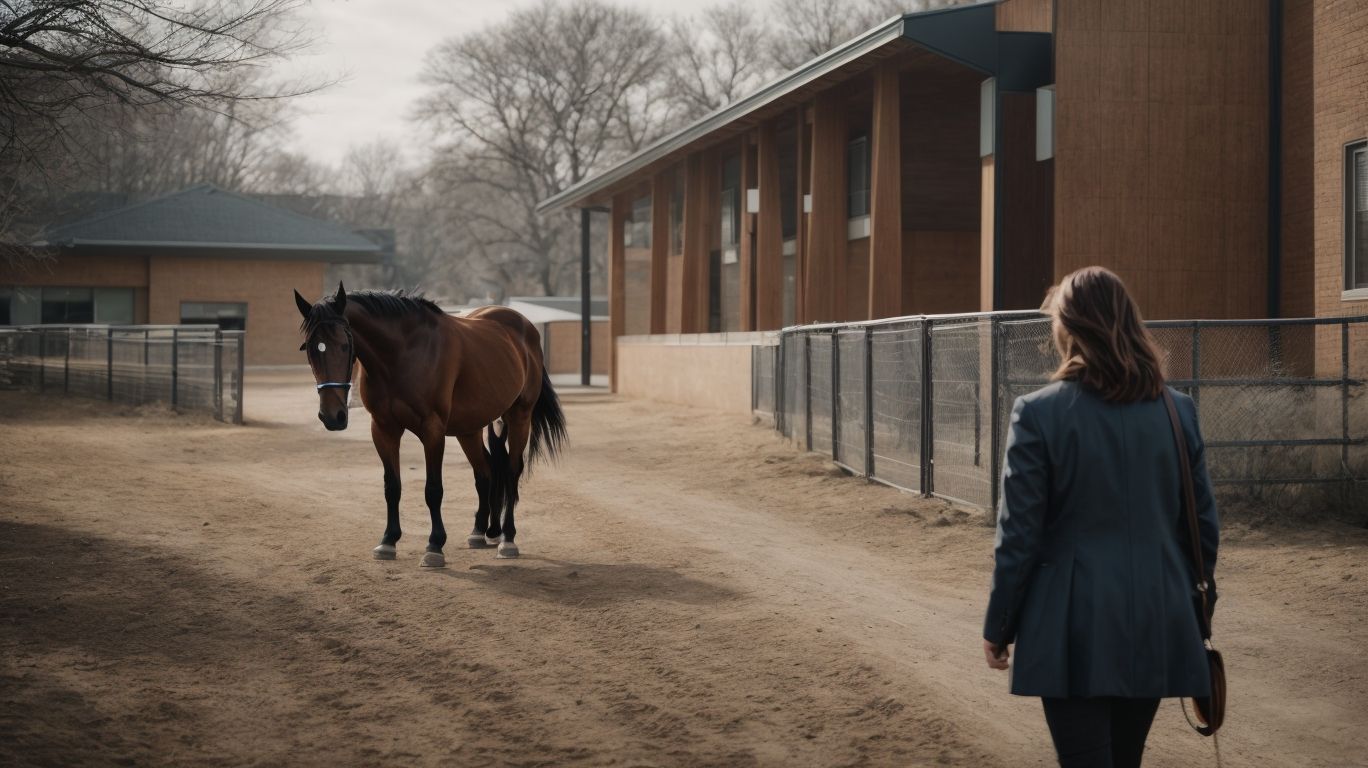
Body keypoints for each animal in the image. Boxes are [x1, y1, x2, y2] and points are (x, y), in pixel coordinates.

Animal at [293, 283, 566, 566]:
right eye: (309, 349)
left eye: (345, 345)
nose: (332, 416)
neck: (402, 354)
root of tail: (526, 328)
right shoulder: (383, 429)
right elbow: (392, 486)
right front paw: (388, 541)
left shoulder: (432, 430)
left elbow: (433, 490)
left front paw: (434, 545)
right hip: (470, 428)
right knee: (485, 472)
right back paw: (481, 531)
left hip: (519, 416)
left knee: (512, 471)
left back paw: (508, 539)